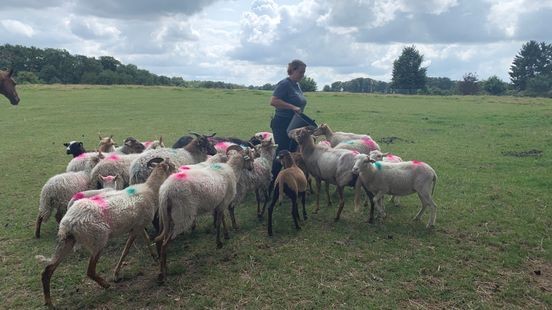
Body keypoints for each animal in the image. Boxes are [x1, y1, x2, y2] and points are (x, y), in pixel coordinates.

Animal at [37, 159, 175, 306]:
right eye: (172, 166)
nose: (178, 171)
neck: (150, 189)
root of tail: (69, 222)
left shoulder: (138, 225)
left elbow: (147, 239)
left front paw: (154, 256)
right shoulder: (137, 227)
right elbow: (126, 250)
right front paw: (116, 274)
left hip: (68, 241)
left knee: (47, 270)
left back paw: (48, 301)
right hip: (98, 239)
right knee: (90, 271)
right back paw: (106, 285)